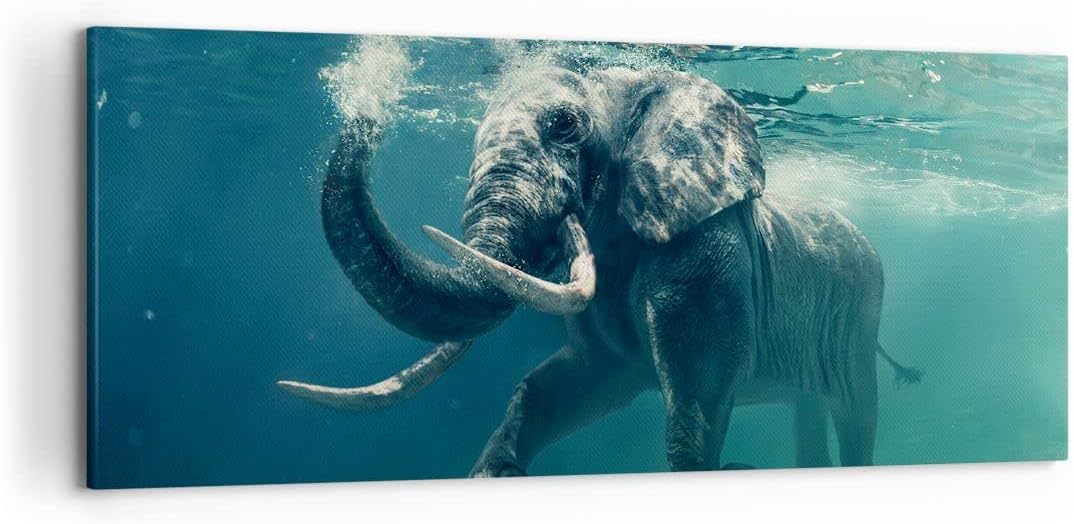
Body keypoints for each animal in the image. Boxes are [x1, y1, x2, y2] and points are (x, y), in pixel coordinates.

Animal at [277, 65, 920, 476]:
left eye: (564, 125)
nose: (365, 106)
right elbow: (560, 386)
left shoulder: (705, 255)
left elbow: (696, 404)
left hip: (862, 320)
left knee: (857, 413)